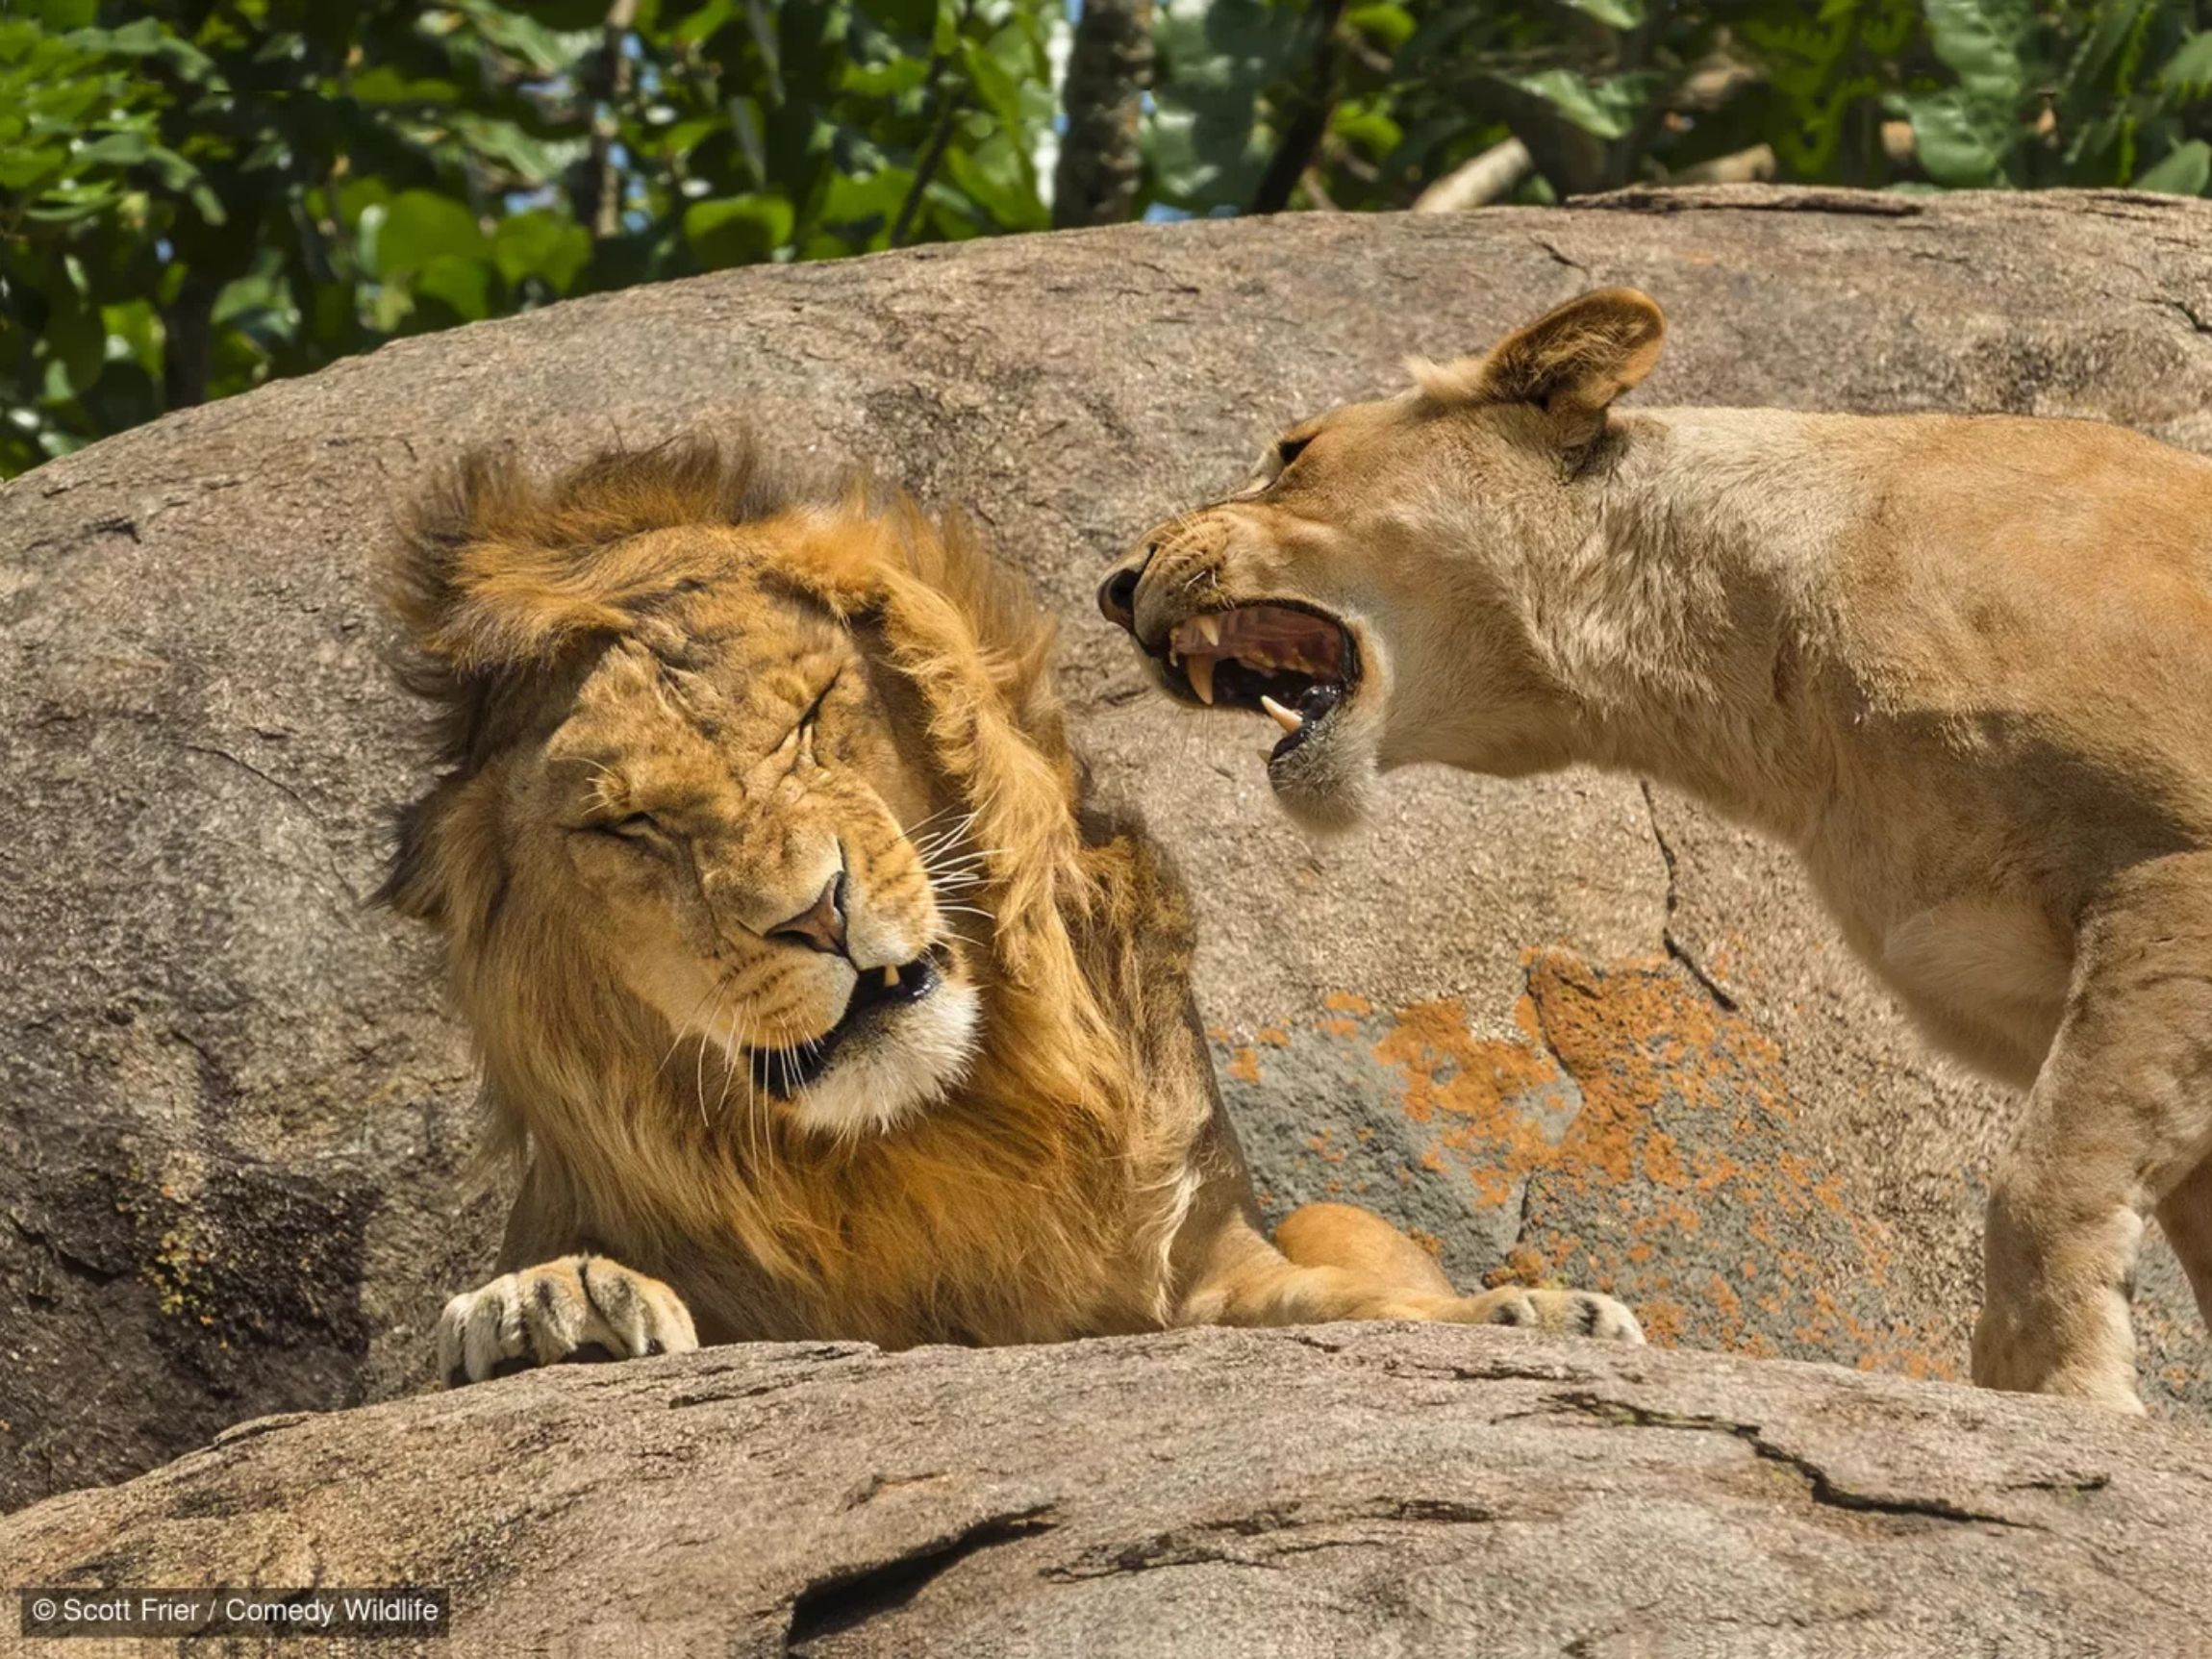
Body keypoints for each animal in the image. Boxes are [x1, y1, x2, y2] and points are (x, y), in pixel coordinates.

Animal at [380, 429, 1637, 1380]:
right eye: (625, 826)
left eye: (809, 716)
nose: (815, 912)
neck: (929, 1137)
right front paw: (547, 1307)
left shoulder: (1200, 1266)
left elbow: (1338, 1304)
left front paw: (1526, 1313)